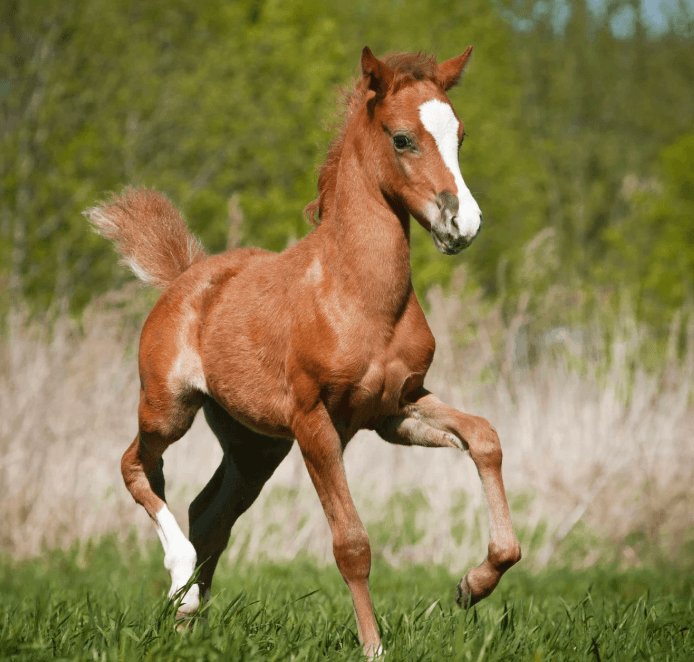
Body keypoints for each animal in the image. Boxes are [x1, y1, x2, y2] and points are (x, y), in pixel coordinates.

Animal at [85, 46, 521, 659]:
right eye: (403, 139)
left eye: (460, 134)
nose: (463, 223)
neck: (359, 297)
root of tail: (185, 276)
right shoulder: (315, 420)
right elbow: (351, 544)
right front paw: (373, 647)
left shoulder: (394, 408)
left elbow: (484, 437)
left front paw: (471, 585)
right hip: (168, 407)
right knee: (138, 467)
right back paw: (180, 587)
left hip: (254, 445)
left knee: (208, 512)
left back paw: (189, 620)